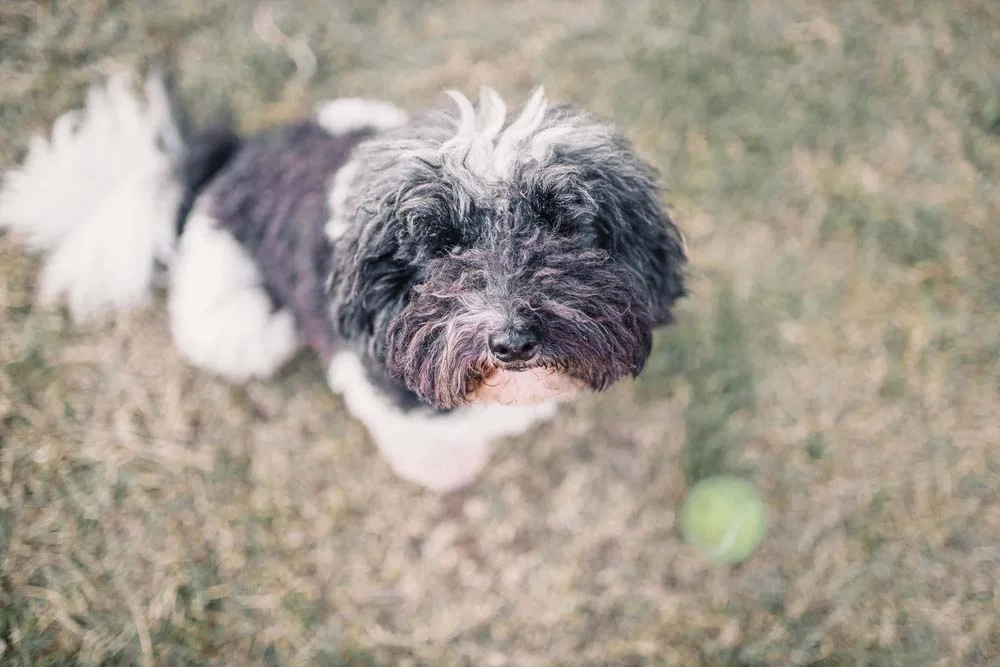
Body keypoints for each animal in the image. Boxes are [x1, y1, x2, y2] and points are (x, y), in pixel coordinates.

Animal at [0, 74, 688, 490]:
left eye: (563, 224)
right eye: (440, 246)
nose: (513, 342)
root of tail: (230, 157)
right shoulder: (372, 380)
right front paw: (446, 468)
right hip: (237, 322)